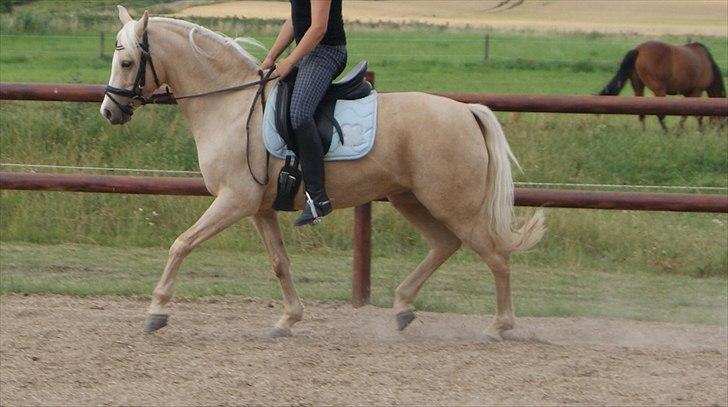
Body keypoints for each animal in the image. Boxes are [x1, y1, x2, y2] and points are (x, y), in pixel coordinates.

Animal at [100, 6, 545, 340]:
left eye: (127, 62)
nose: (109, 112)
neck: (230, 106)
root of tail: (466, 111)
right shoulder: (259, 208)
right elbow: (280, 263)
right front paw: (287, 320)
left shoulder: (234, 200)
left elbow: (181, 244)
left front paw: (156, 311)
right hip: (411, 198)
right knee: (445, 244)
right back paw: (403, 307)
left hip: (453, 203)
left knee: (496, 256)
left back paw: (498, 327)